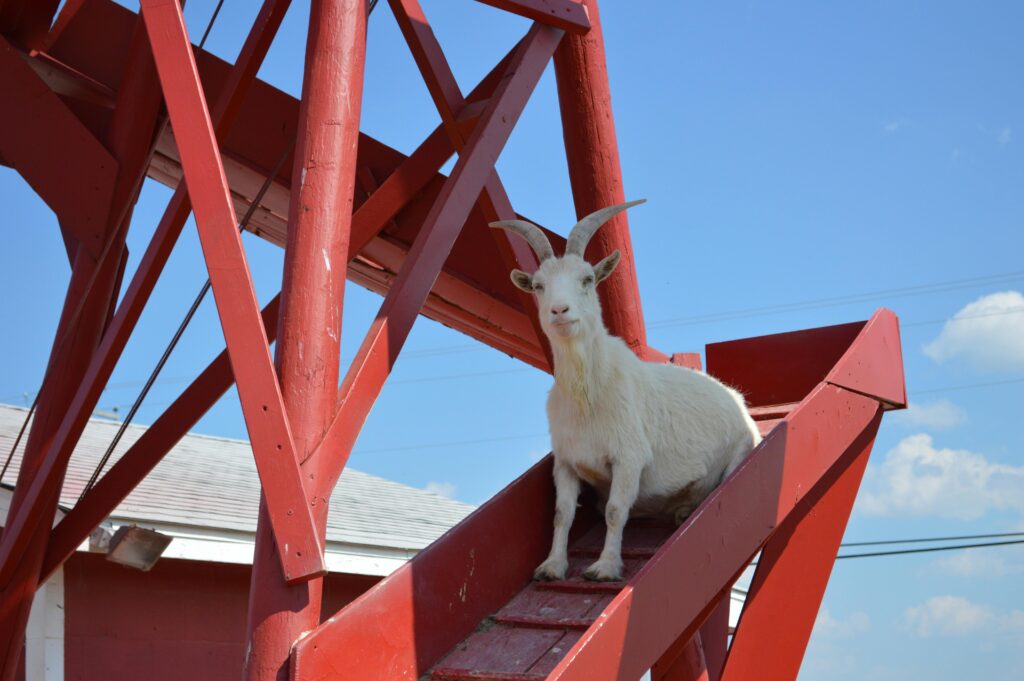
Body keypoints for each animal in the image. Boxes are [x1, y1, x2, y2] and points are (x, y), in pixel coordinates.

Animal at [491, 200, 765, 577]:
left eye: (587, 279)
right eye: (537, 285)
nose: (560, 311)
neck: (589, 395)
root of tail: (737, 399)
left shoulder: (629, 457)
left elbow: (615, 510)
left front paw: (605, 567)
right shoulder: (565, 462)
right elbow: (562, 514)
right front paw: (552, 565)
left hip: (742, 449)